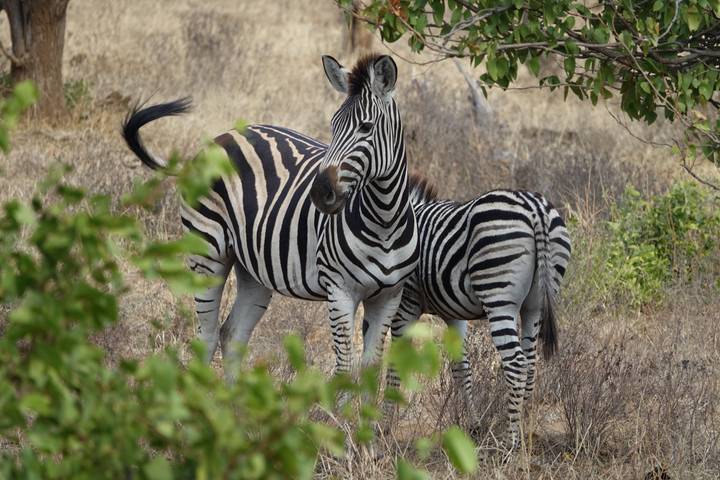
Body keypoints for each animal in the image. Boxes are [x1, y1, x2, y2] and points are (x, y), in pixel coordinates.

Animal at [121, 54, 418, 388]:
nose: (320, 193)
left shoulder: (389, 296)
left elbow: (370, 370)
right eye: (333, 125)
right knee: (206, 336)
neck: (384, 222)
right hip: (207, 253)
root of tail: (214, 141)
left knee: (233, 332)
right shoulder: (340, 290)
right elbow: (344, 369)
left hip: (254, 268)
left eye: (366, 127)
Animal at [386, 174, 571, 449]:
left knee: (515, 364)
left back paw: (511, 441)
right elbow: (461, 368)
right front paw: (473, 425)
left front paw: (382, 424)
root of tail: (535, 208)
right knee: (530, 363)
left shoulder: (406, 304)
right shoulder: (453, 314)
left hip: (499, 297)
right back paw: (526, 428)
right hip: (535, 305)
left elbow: (395, 362)